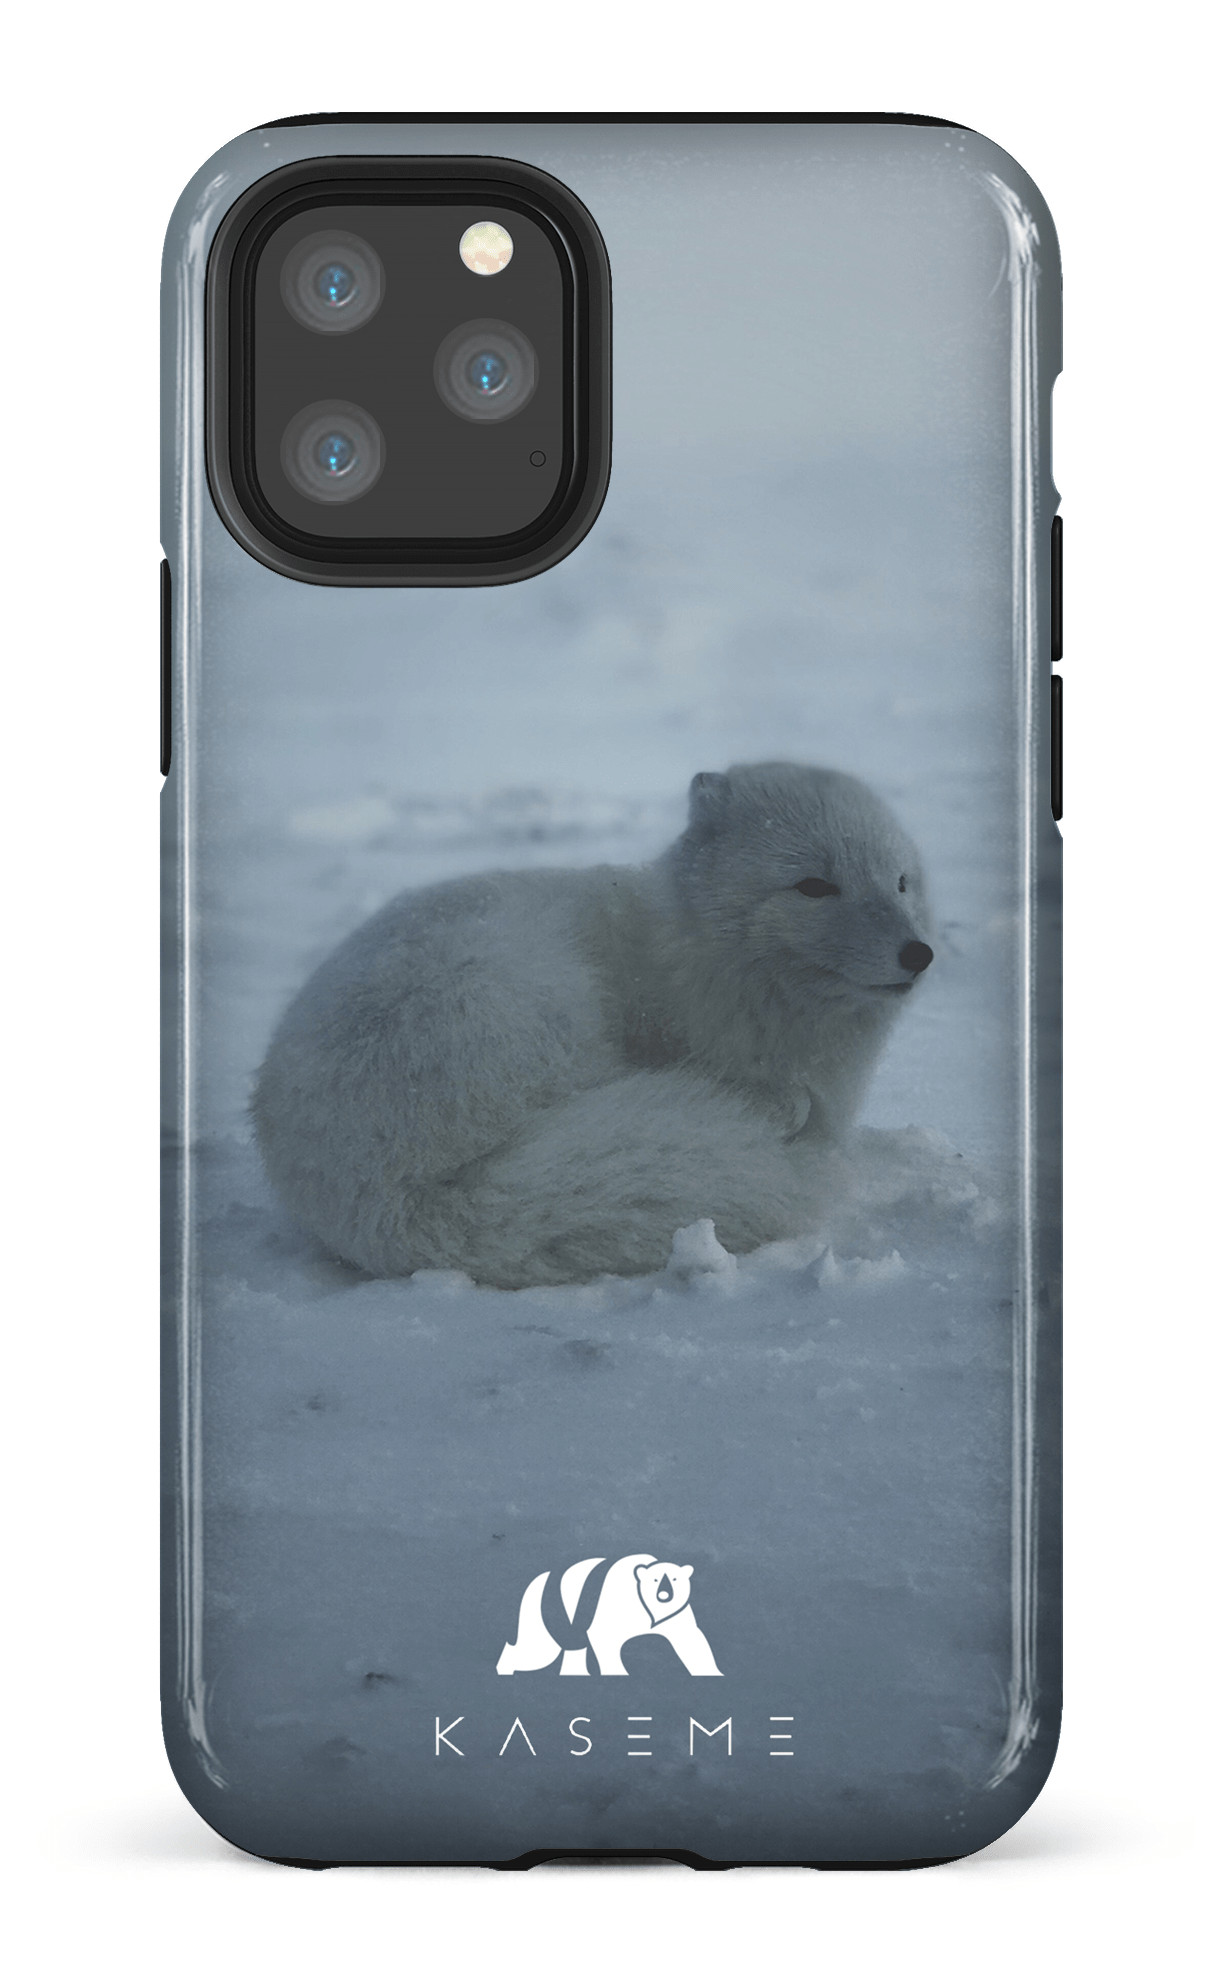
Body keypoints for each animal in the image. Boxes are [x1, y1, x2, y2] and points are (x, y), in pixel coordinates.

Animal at [252, 763, 934, 1287]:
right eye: (814, 886)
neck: (694, 955)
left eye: (900, 881)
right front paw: (780, 1107)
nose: (919, 953)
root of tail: (392, 1199)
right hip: (525, 999)